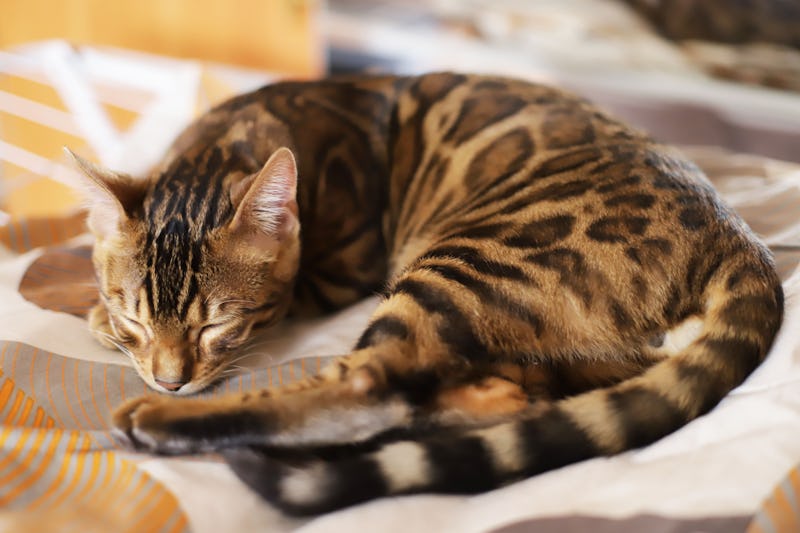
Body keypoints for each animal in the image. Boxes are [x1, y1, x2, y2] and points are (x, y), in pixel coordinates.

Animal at [67, 72, 780, 512]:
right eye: (137, 320)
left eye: (217, 326)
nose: (169, 381)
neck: (223, 141)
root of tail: (741, 241)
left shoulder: (347, 265)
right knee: (499, 398)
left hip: (460, 266)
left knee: (370, 385)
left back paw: (161, 423)